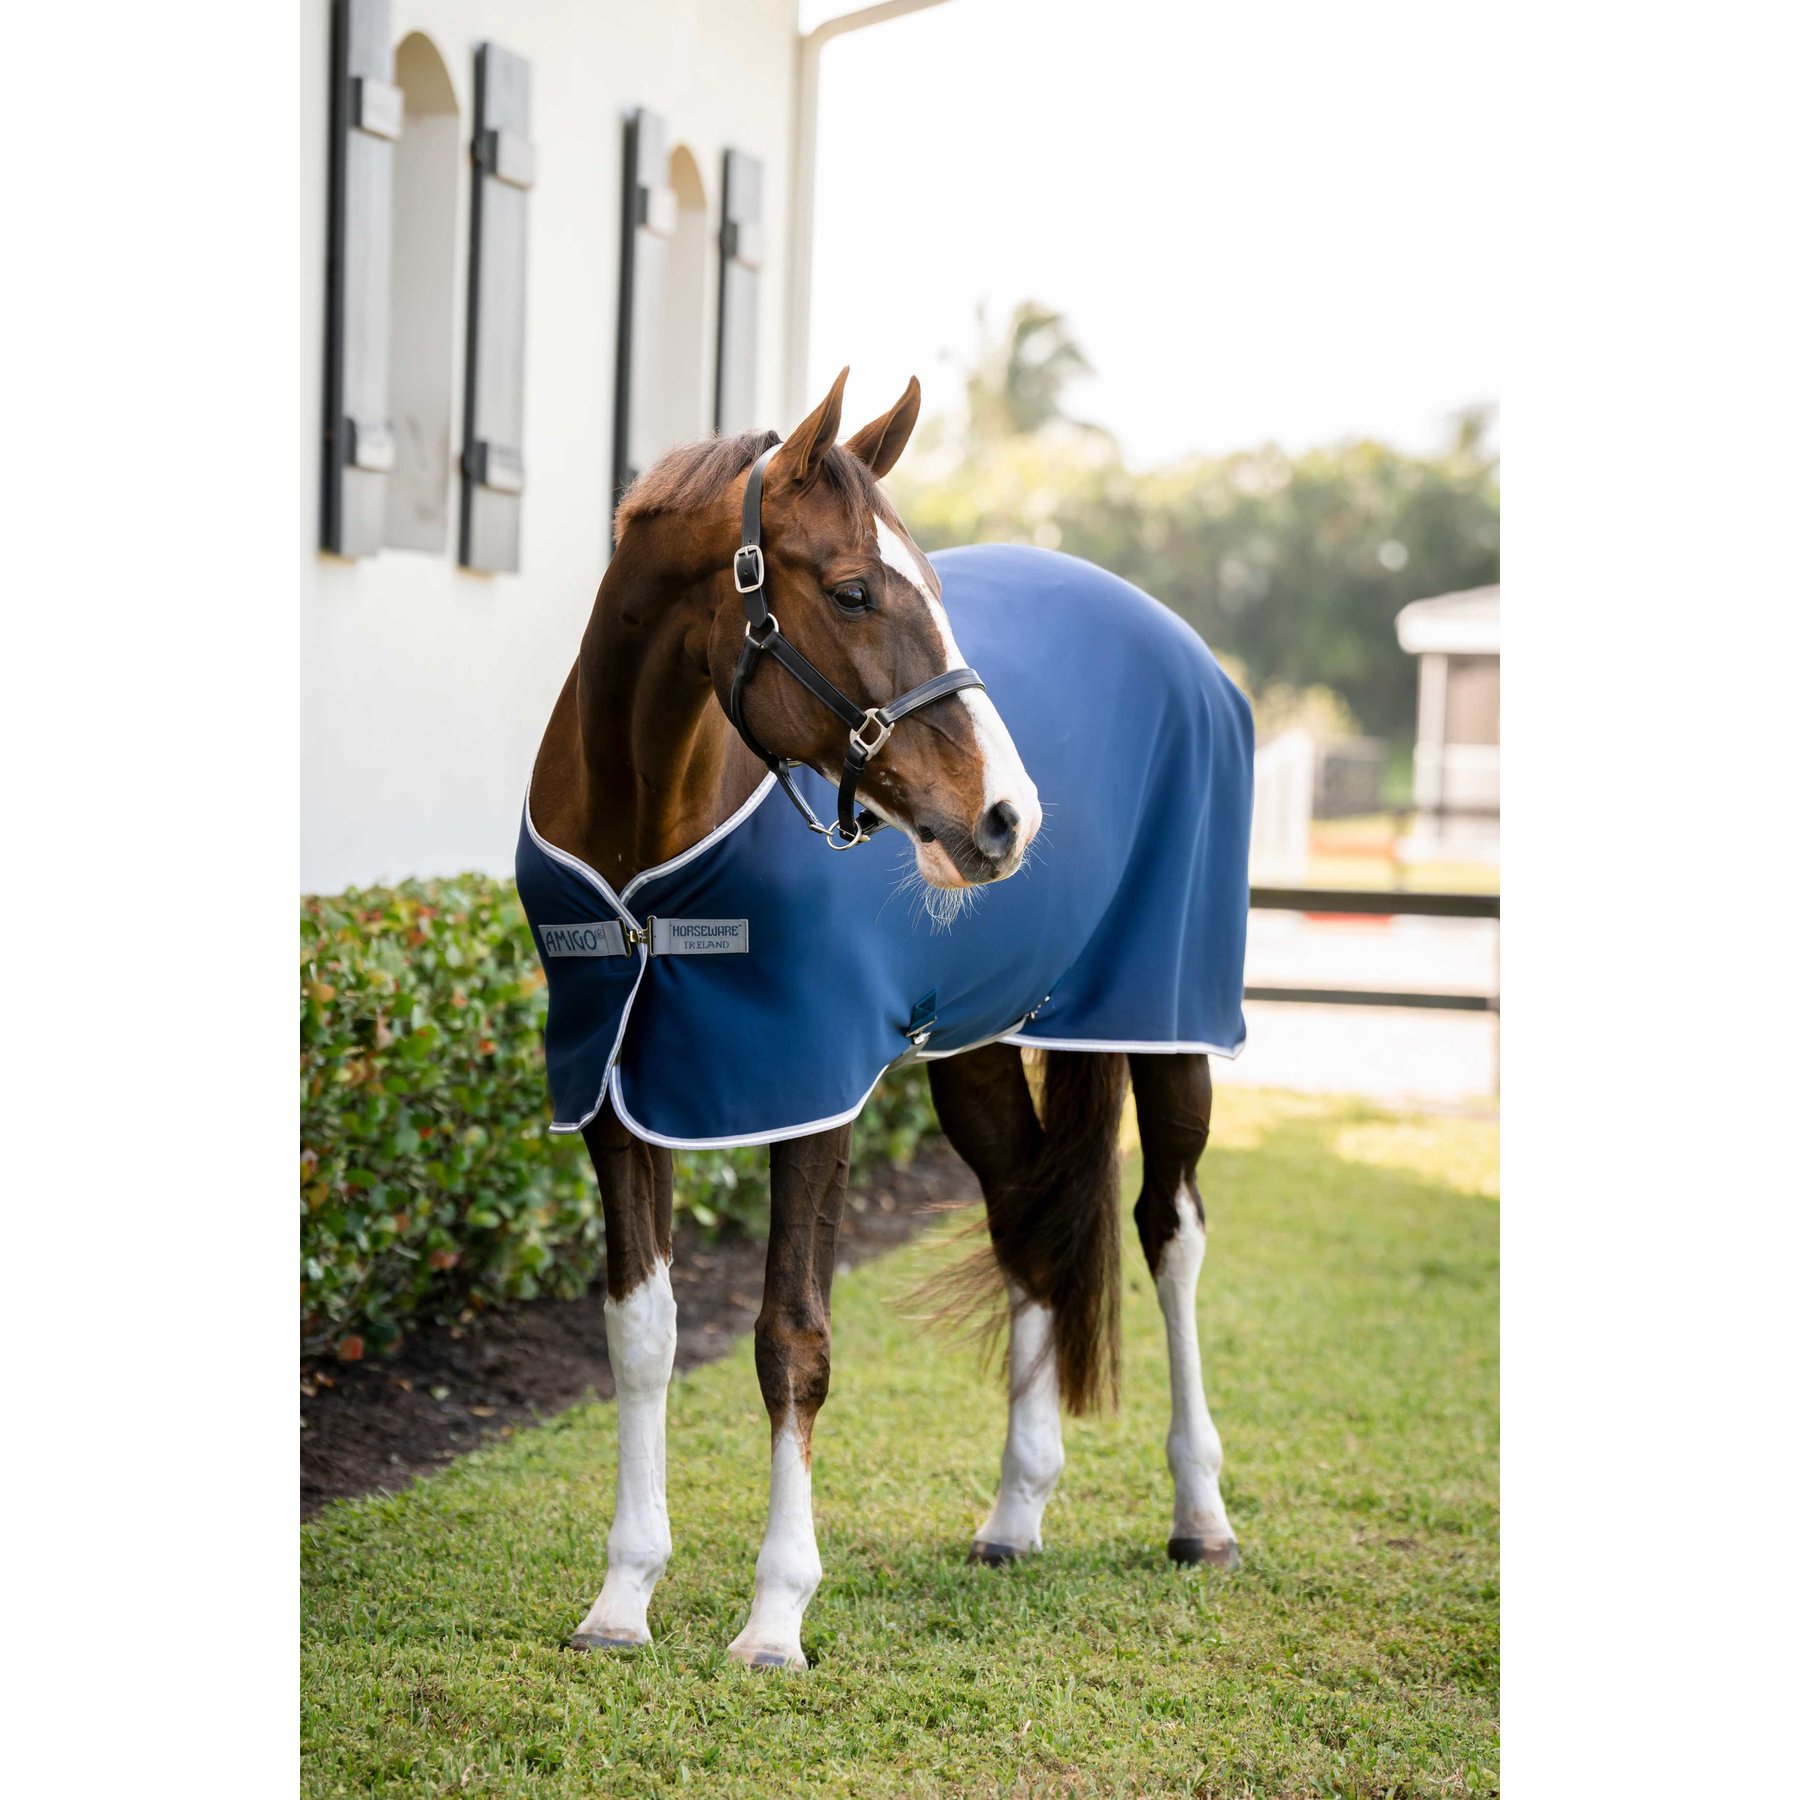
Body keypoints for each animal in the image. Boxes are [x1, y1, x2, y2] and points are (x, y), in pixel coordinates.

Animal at [520, 369, 1252, 1669]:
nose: (1008, 817)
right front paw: (622, 1597)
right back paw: (1014, 1514)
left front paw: (775, 1614)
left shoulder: (806, 1084)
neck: (644, 835)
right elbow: (641, 1334)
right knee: (1029, 1221)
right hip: (978, 1052)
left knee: (1170, 1231)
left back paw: (1199, 1515)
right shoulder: (618, 1092)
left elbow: (791, 1341)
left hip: (1172, 1030)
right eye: (854, 589)